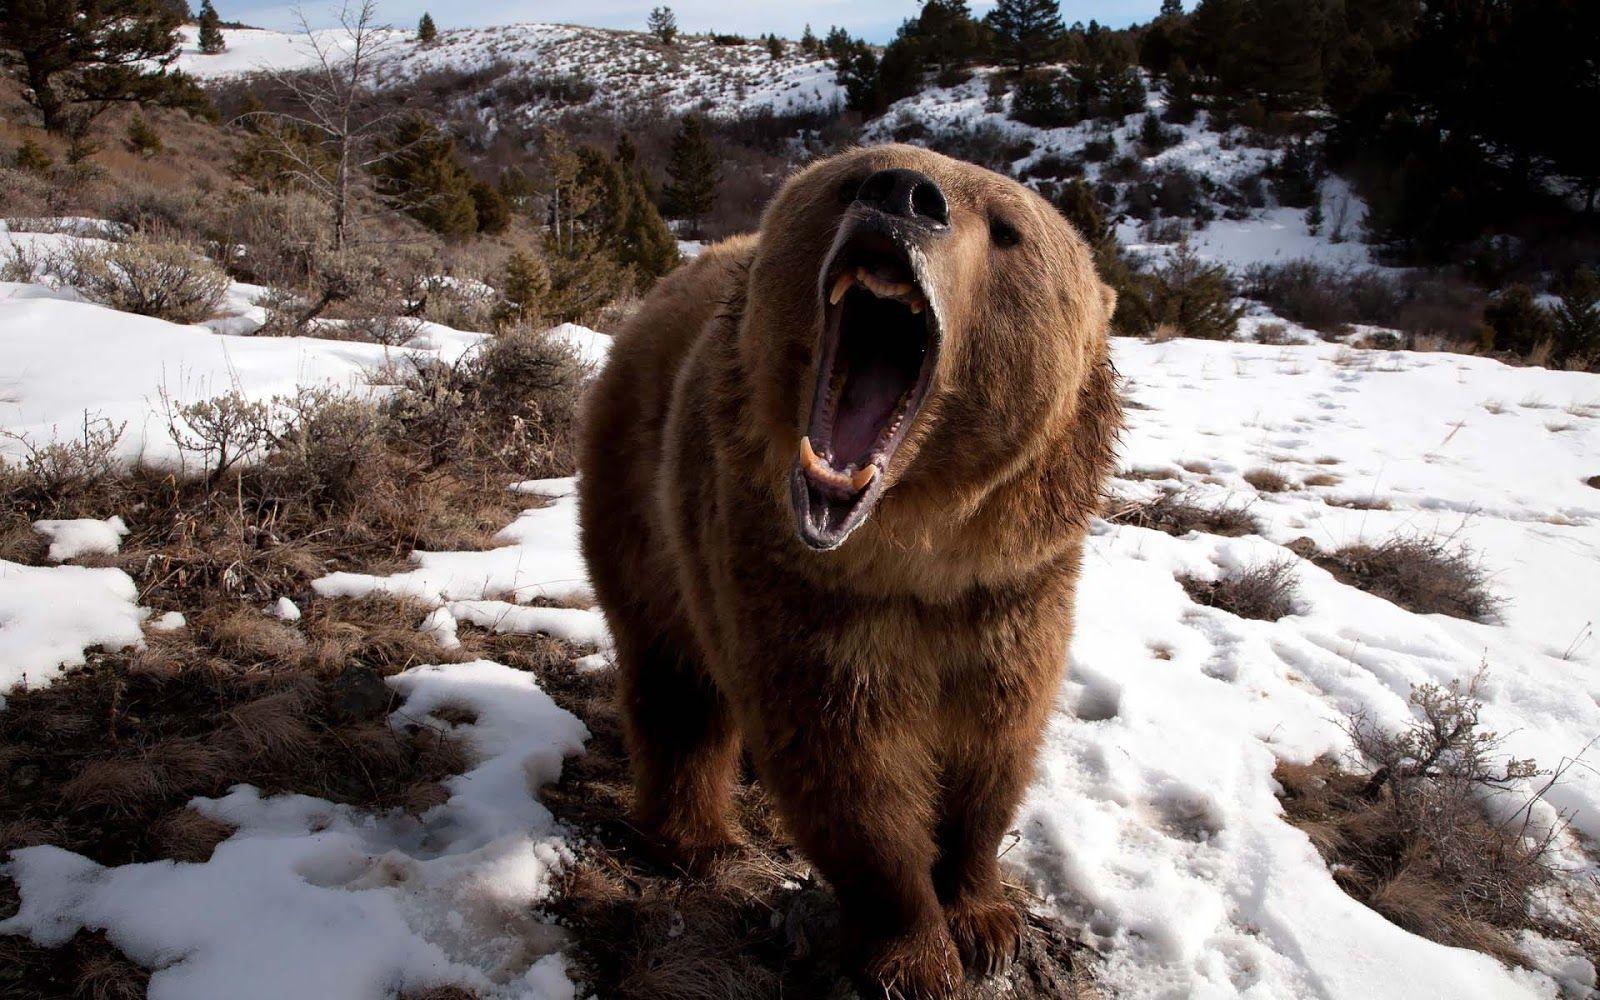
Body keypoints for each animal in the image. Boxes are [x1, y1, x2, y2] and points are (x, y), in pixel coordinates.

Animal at [577, 143, 1121, 998]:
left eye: (1008, 229)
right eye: (855, 176)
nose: (904, 195)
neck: (917, 549)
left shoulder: (1014, 590)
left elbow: (995, 746)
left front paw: (986, 920)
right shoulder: (803, 588)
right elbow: (849, 768)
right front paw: (918, 954)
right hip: (643, 498)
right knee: (674, 677)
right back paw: (700, 838)